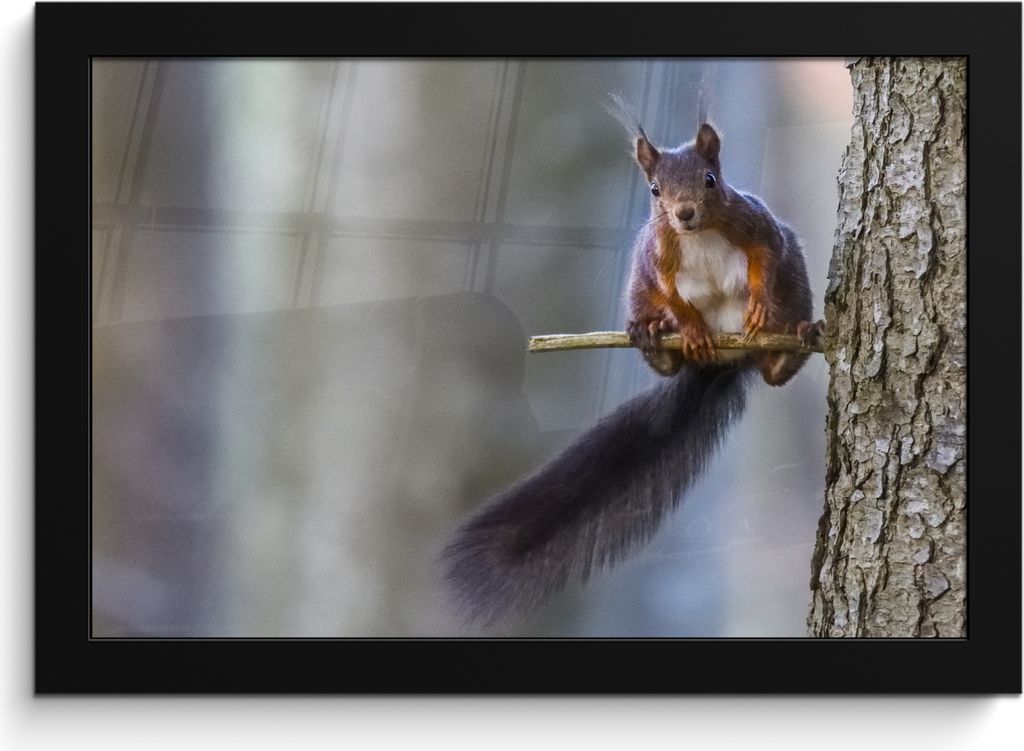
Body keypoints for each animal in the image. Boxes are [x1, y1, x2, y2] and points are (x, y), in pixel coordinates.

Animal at [442, 97, 824, 626]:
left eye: (710, 179)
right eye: (654, 189)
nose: (684, 214)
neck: (699, 235)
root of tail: (726, 362)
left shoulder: (758, 227)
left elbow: (766, 259)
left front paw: (759, 305)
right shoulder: (656, 259)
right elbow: (673, 297)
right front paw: (688, 327)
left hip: (794, 294)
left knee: (775, 370)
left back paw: (793, 343)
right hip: (638, 293)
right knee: (664, 347)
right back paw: (654, 340)